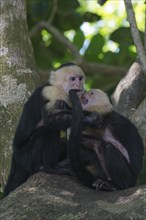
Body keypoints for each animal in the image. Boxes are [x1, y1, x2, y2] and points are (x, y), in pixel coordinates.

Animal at [2, 62, 86, 198]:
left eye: (80, 78)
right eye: (73, 79)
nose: (79, 85)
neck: (61, 90)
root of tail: (15, 156)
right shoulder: (52, 93)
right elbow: (50, 121)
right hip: (26, 157)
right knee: (48, 132)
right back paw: (49, 168)